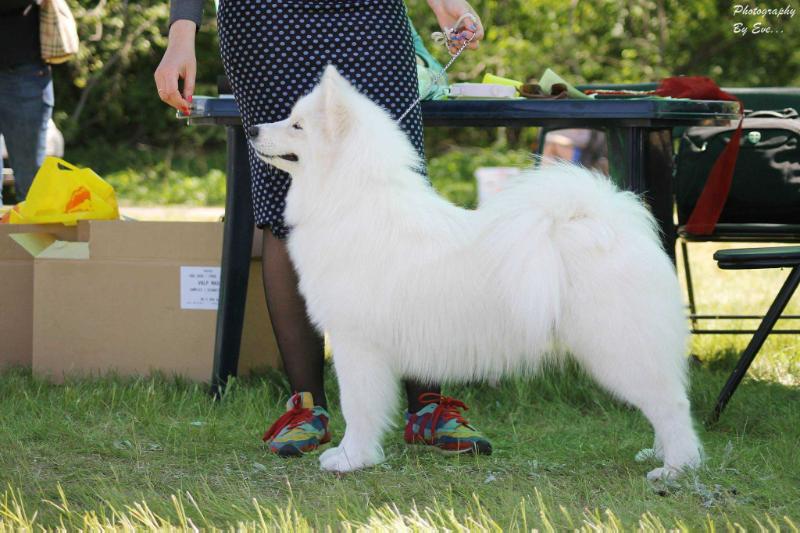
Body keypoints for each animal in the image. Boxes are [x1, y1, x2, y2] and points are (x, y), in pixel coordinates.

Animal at [248, 65, 700, 478]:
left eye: (297, 125)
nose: (252, 129)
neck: (349, 199)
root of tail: (608, 224)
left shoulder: (356, 343)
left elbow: (358, 407)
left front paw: (350, 459)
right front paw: (351, 455)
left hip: (619, 347)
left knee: (673, 403)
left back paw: (677, 468)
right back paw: (658, 454)